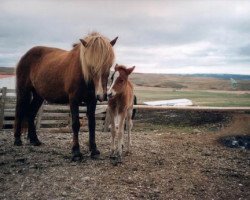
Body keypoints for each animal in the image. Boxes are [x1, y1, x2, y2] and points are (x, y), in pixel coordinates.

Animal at [13, 32, 118, 160]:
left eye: (109, 66)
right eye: (91, 66)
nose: (101, 95)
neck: (82, 73)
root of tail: (25, 55)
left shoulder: (92, 101)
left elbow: (92, 124)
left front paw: (94, 150)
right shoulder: (73, 100)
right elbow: (75, 124)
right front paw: (76, 151)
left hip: (39, 96)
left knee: (31, 113)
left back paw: (34, 140)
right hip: (23, 91)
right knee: (20, 111)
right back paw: (17, 140)